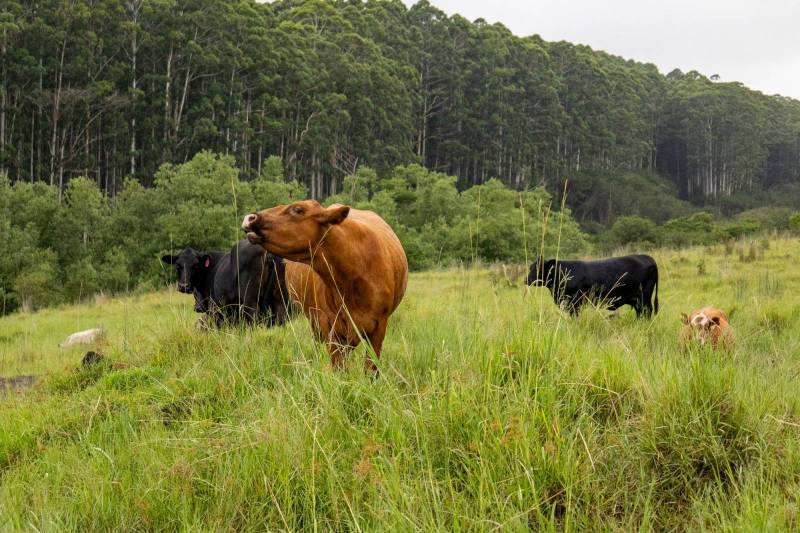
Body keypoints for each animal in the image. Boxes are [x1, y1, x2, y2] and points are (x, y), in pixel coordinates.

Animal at [161, 239, 292, 326]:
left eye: (196, 266)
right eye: (177, 266)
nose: (183, 286)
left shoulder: (216, 308)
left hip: (250, 301)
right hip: (280, 299)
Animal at [524, 254, 656, 316]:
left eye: (537, 269)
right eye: (530, 267)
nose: (526, 280)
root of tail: (647, 257)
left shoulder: (575, 303)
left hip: (644, 298)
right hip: (638, 301)